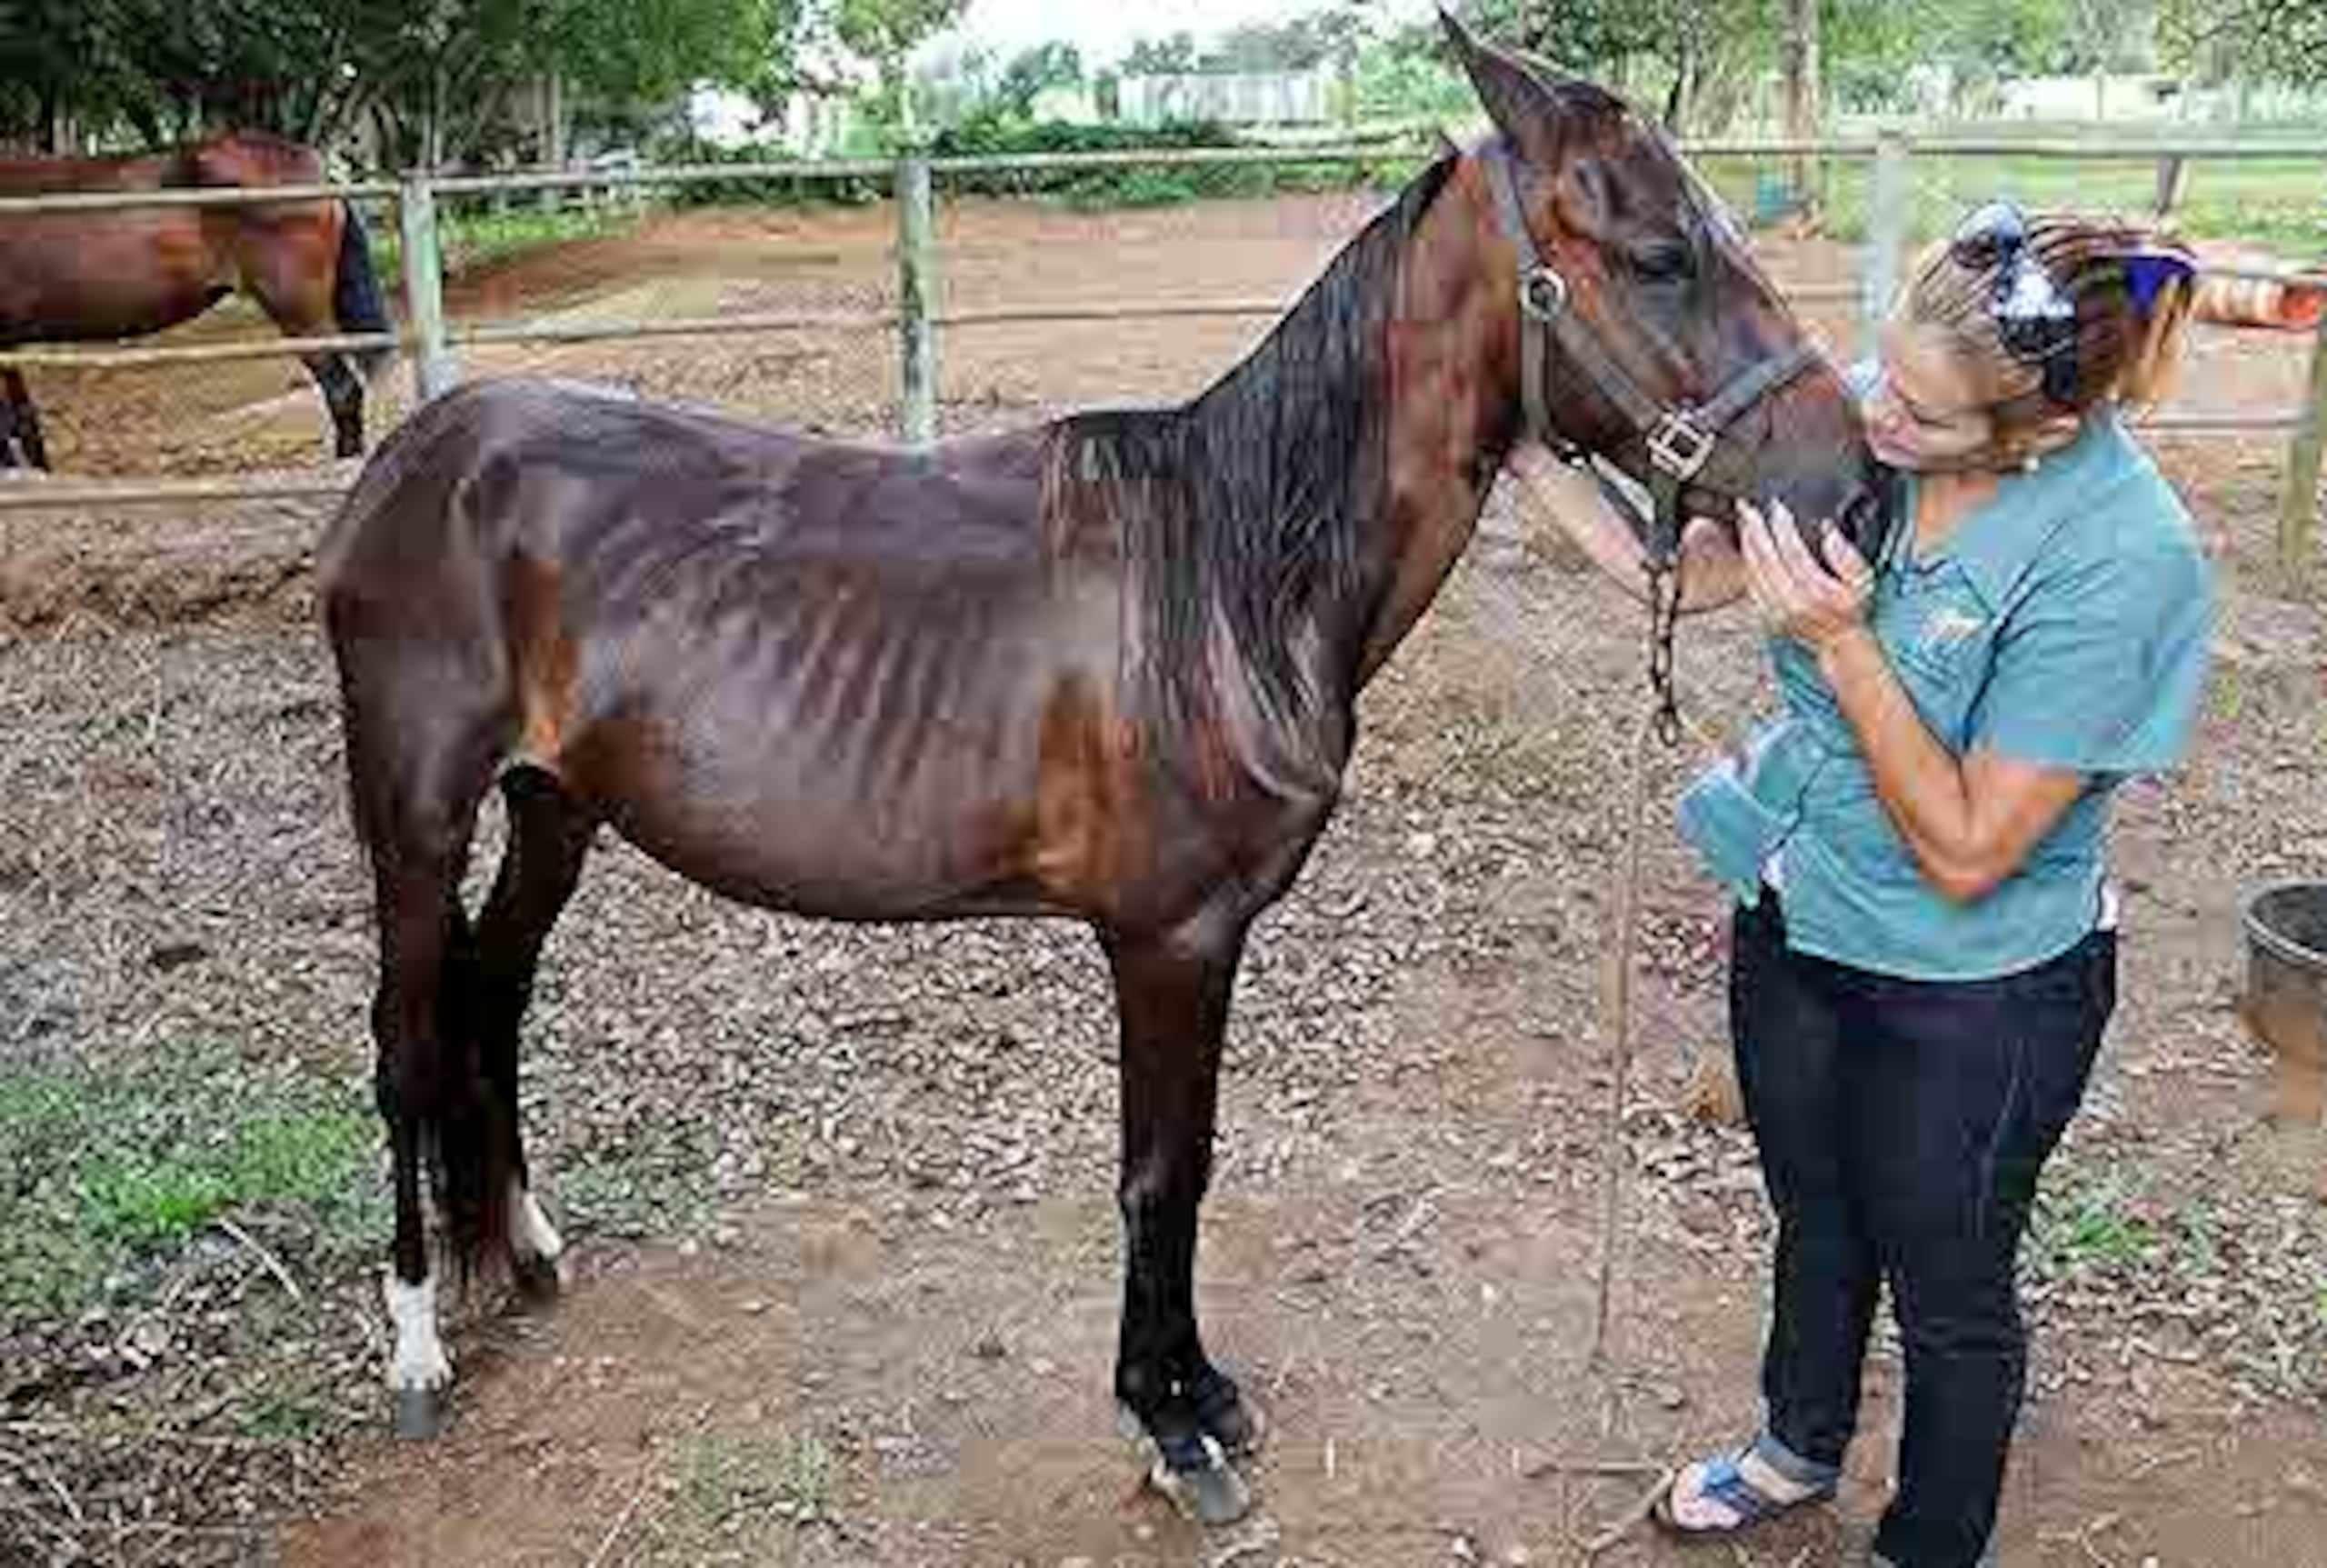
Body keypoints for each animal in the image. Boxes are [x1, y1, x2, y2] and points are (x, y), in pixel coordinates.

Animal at [318, 12, 1898, 1516]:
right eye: (1659, 254)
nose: (1861, 494)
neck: (1226, 578)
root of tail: (417, 455)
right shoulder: (1168, 939)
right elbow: (1160, 1174)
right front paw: (1170, 1421)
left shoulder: (1202, 940)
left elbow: (1187, 1162)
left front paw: (1198, 1389)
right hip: (415, 810)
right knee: (407, 1040)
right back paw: (415, 1344)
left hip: (556, 805)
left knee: (494, 993)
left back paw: (525, 1247)